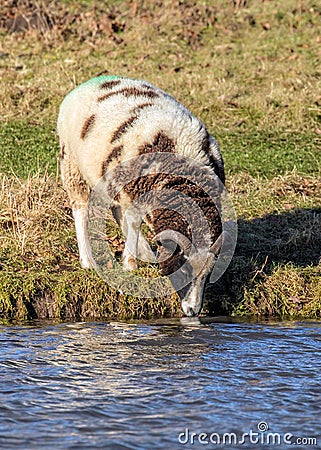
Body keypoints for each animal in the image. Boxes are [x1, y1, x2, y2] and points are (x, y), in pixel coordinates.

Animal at [57, 74, 225, 316]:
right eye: (184, 271)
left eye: (208, 274)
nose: (193, 311)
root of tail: (92, 81)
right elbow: (135, 223)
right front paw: (130, 264)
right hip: (72, 163)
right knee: (81, 209)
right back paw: (88, 260)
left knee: (117, 209)